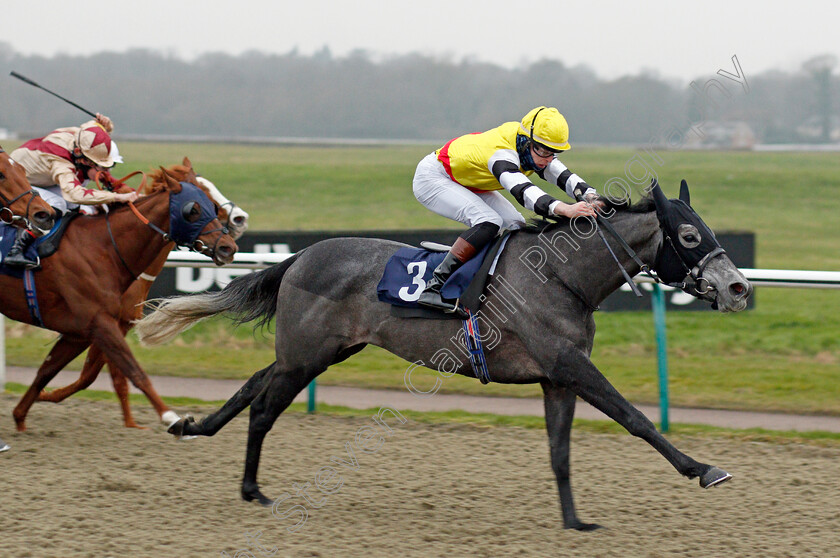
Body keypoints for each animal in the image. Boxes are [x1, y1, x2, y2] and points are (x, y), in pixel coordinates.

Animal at [9, 171, 240, 434]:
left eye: (212, 206)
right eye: (194, 209)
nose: (228, 247)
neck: (105, 248)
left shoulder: (92, 329)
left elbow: (57, 371)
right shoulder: (102, 324)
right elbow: (120, 373)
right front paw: (164, 419)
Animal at [138, 182, 756, 532]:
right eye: (690, 237)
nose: (738, 288)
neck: (563, 277)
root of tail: (297, 258)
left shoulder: (557, 378)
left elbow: (560, 452)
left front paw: (575, 521)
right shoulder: (570, 366)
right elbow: (636, 419)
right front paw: (704, 469)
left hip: (318, 351)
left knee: (251, 384)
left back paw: (193, 427)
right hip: (305, 358)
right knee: (265, 408)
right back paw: (253, 490)